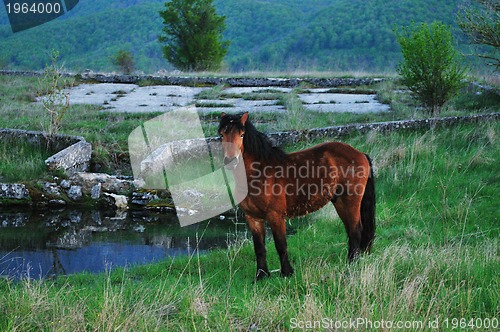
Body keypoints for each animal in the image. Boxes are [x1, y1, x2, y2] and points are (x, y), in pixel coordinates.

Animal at [219, 112, 376, 280]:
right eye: (222, 134)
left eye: (242, 135)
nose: (230, 160)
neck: (259, 173)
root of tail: (360, 154)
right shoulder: (253, 218)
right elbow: (259, 248)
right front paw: (261, 276)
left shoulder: (275, 216)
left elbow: (281, 245)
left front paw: (286, 273)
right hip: (340, 202)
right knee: (351, 231)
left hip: (351, 201)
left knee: (356, 230)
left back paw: (352, 263)